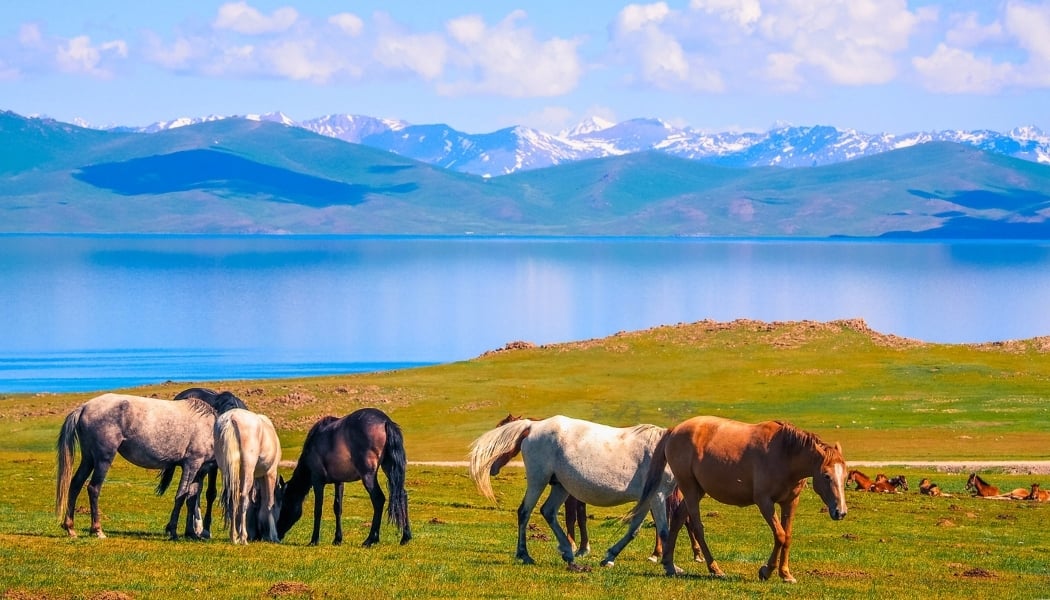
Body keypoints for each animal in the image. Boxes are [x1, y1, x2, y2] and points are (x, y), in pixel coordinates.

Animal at [56, 393, 216, 539]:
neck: (211, 429)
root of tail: (84, 407)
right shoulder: (191, 465)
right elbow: (181, 496)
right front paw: (173, 531)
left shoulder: (200, 470)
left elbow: (191, 499)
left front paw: (191, 533)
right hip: (103, 459)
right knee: (93, 488)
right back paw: (97, 530)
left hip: (88, 459)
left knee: (75, 484)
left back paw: (70, 528)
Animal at [214, 408, 283, 544]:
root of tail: (231, 417)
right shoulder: (270, 473)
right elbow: (269, 503)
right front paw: (273, 536)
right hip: (248, 470)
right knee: (243, 498)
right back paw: (243, 537)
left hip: (229, 472)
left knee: (233, 499)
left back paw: (234, 536)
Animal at [276, 408, 412, 547]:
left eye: (282, 505)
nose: (277, 535)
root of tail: (386, 421)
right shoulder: (339, 481)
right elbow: (338, 508)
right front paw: (337, 539)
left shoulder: (317, 481)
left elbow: (318, 510)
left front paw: (314, 540)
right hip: (389, 468)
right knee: (402, 495)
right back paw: (405, 537)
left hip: (368, 475)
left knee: (378, 499)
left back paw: (371, 539)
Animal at [469, 415, 680, 568]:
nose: (493, 467)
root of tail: (533, 427)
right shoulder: (658, 496)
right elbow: (664, 531)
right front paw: (671, 567)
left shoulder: (649, 498)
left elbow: (634, 530)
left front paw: (609, 557)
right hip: (538, 480)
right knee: (524, 512)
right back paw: (525, 555)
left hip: (560, 486)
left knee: (548, 511)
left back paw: (568, 553)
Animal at [626, 416, 848, 583]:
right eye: (826, 476)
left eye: (845, 475)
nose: (841, 511)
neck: (785, 454)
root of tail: (674, 431)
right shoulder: (764, 502)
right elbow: (780, 535)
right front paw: (766, 571)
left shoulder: (790, 502)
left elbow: (787, 536)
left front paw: (785, 574)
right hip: (689, 489)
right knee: (696, 527)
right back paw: (714, 568)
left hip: (696, 491)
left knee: (679, 518)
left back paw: (669, 564)